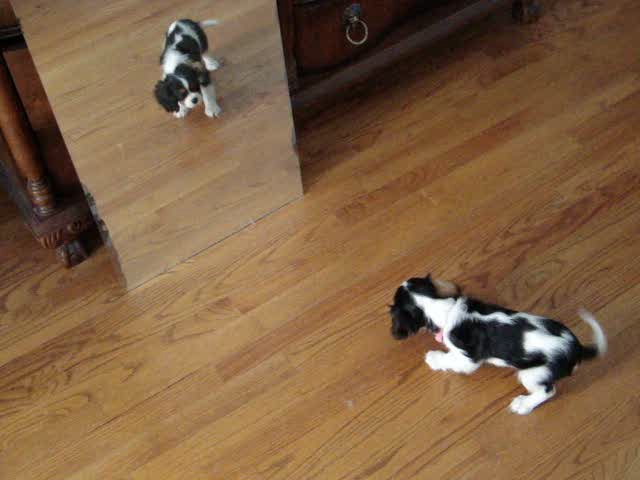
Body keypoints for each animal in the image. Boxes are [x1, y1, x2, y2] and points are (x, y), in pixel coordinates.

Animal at [388, 276, 608, 414]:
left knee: (548, 391)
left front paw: (434, 357)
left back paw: (523, 404)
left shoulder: (467, 358)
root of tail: (576, 348)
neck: (444, 308)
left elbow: (450, 358)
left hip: (533, 373)